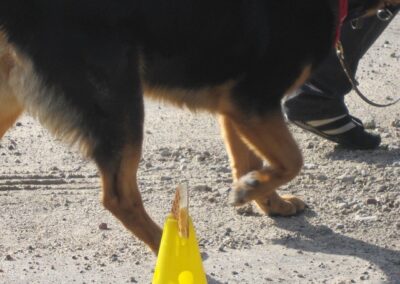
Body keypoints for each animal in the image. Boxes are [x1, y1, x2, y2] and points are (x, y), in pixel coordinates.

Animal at [0, 0, 394, 253]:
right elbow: (292, 160)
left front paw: (267, 201)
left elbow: (251, 161)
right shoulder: (254, 103)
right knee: (119, 195)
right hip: (120, 102)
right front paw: (251, 190)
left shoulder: (237, 109)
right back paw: (167, 246)